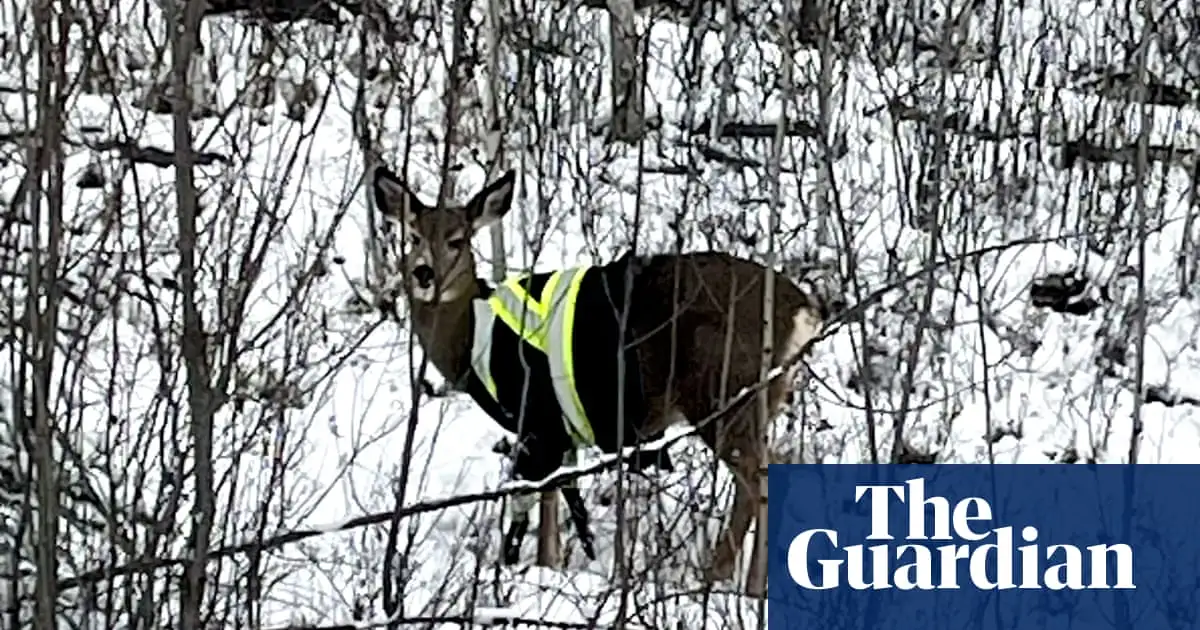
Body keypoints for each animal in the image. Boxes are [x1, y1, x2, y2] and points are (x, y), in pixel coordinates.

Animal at [369, 162, 849, 595]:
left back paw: (719, 579)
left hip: (722, 390)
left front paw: (535, 567)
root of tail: (803, 311)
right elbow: (558, 494)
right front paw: (554, 565)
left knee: (756, 475)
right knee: (774, 467)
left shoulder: (536, 415)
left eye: (458, 240)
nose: (424, 273)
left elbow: (540, 494)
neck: (470, 336)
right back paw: (749, 586)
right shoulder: (559, 428)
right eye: (412, 236)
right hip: (759, 398)